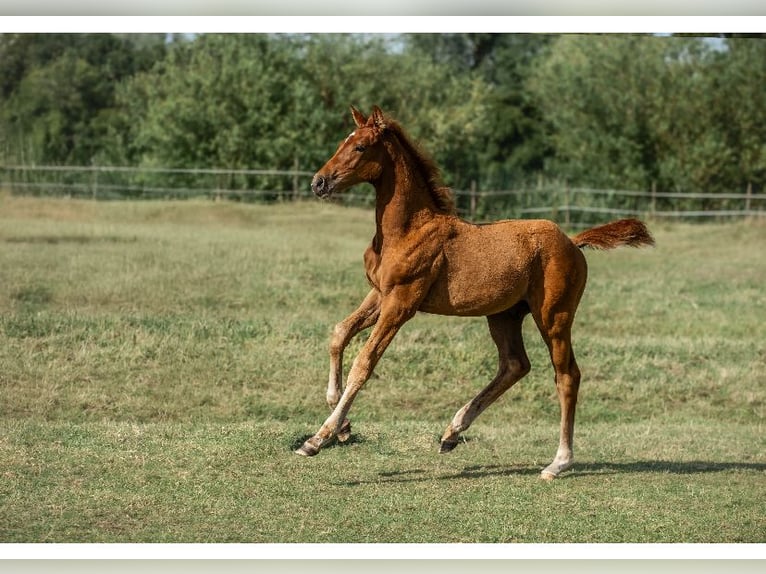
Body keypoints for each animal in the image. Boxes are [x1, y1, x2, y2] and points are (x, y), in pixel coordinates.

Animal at [296, 105, 654, 479]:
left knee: (567, 375)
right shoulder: (380, 294)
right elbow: (339, 333)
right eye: (343, 141)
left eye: (361, 147)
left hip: (554, 317)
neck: (408, 229)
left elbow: (364, 362)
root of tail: (572, 241)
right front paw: (341, 421)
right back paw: (452, 433)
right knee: (515, 365)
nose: (319, 182)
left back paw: (558, 462)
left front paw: (318, 439)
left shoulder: (402, 302)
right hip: (504, 315)